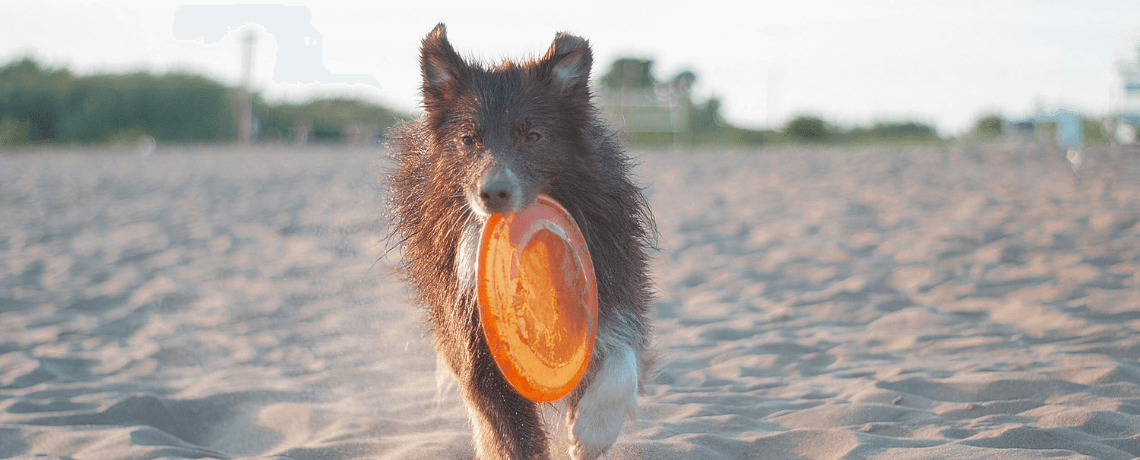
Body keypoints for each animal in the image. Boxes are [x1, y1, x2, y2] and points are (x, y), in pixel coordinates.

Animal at [387, 23, 656, 457]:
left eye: (533, 135)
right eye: (468, 139)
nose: (494, 193)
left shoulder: (612, 284)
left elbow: (623, 357)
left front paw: (592, 431)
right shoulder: (473, 338)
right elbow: (508, 427)